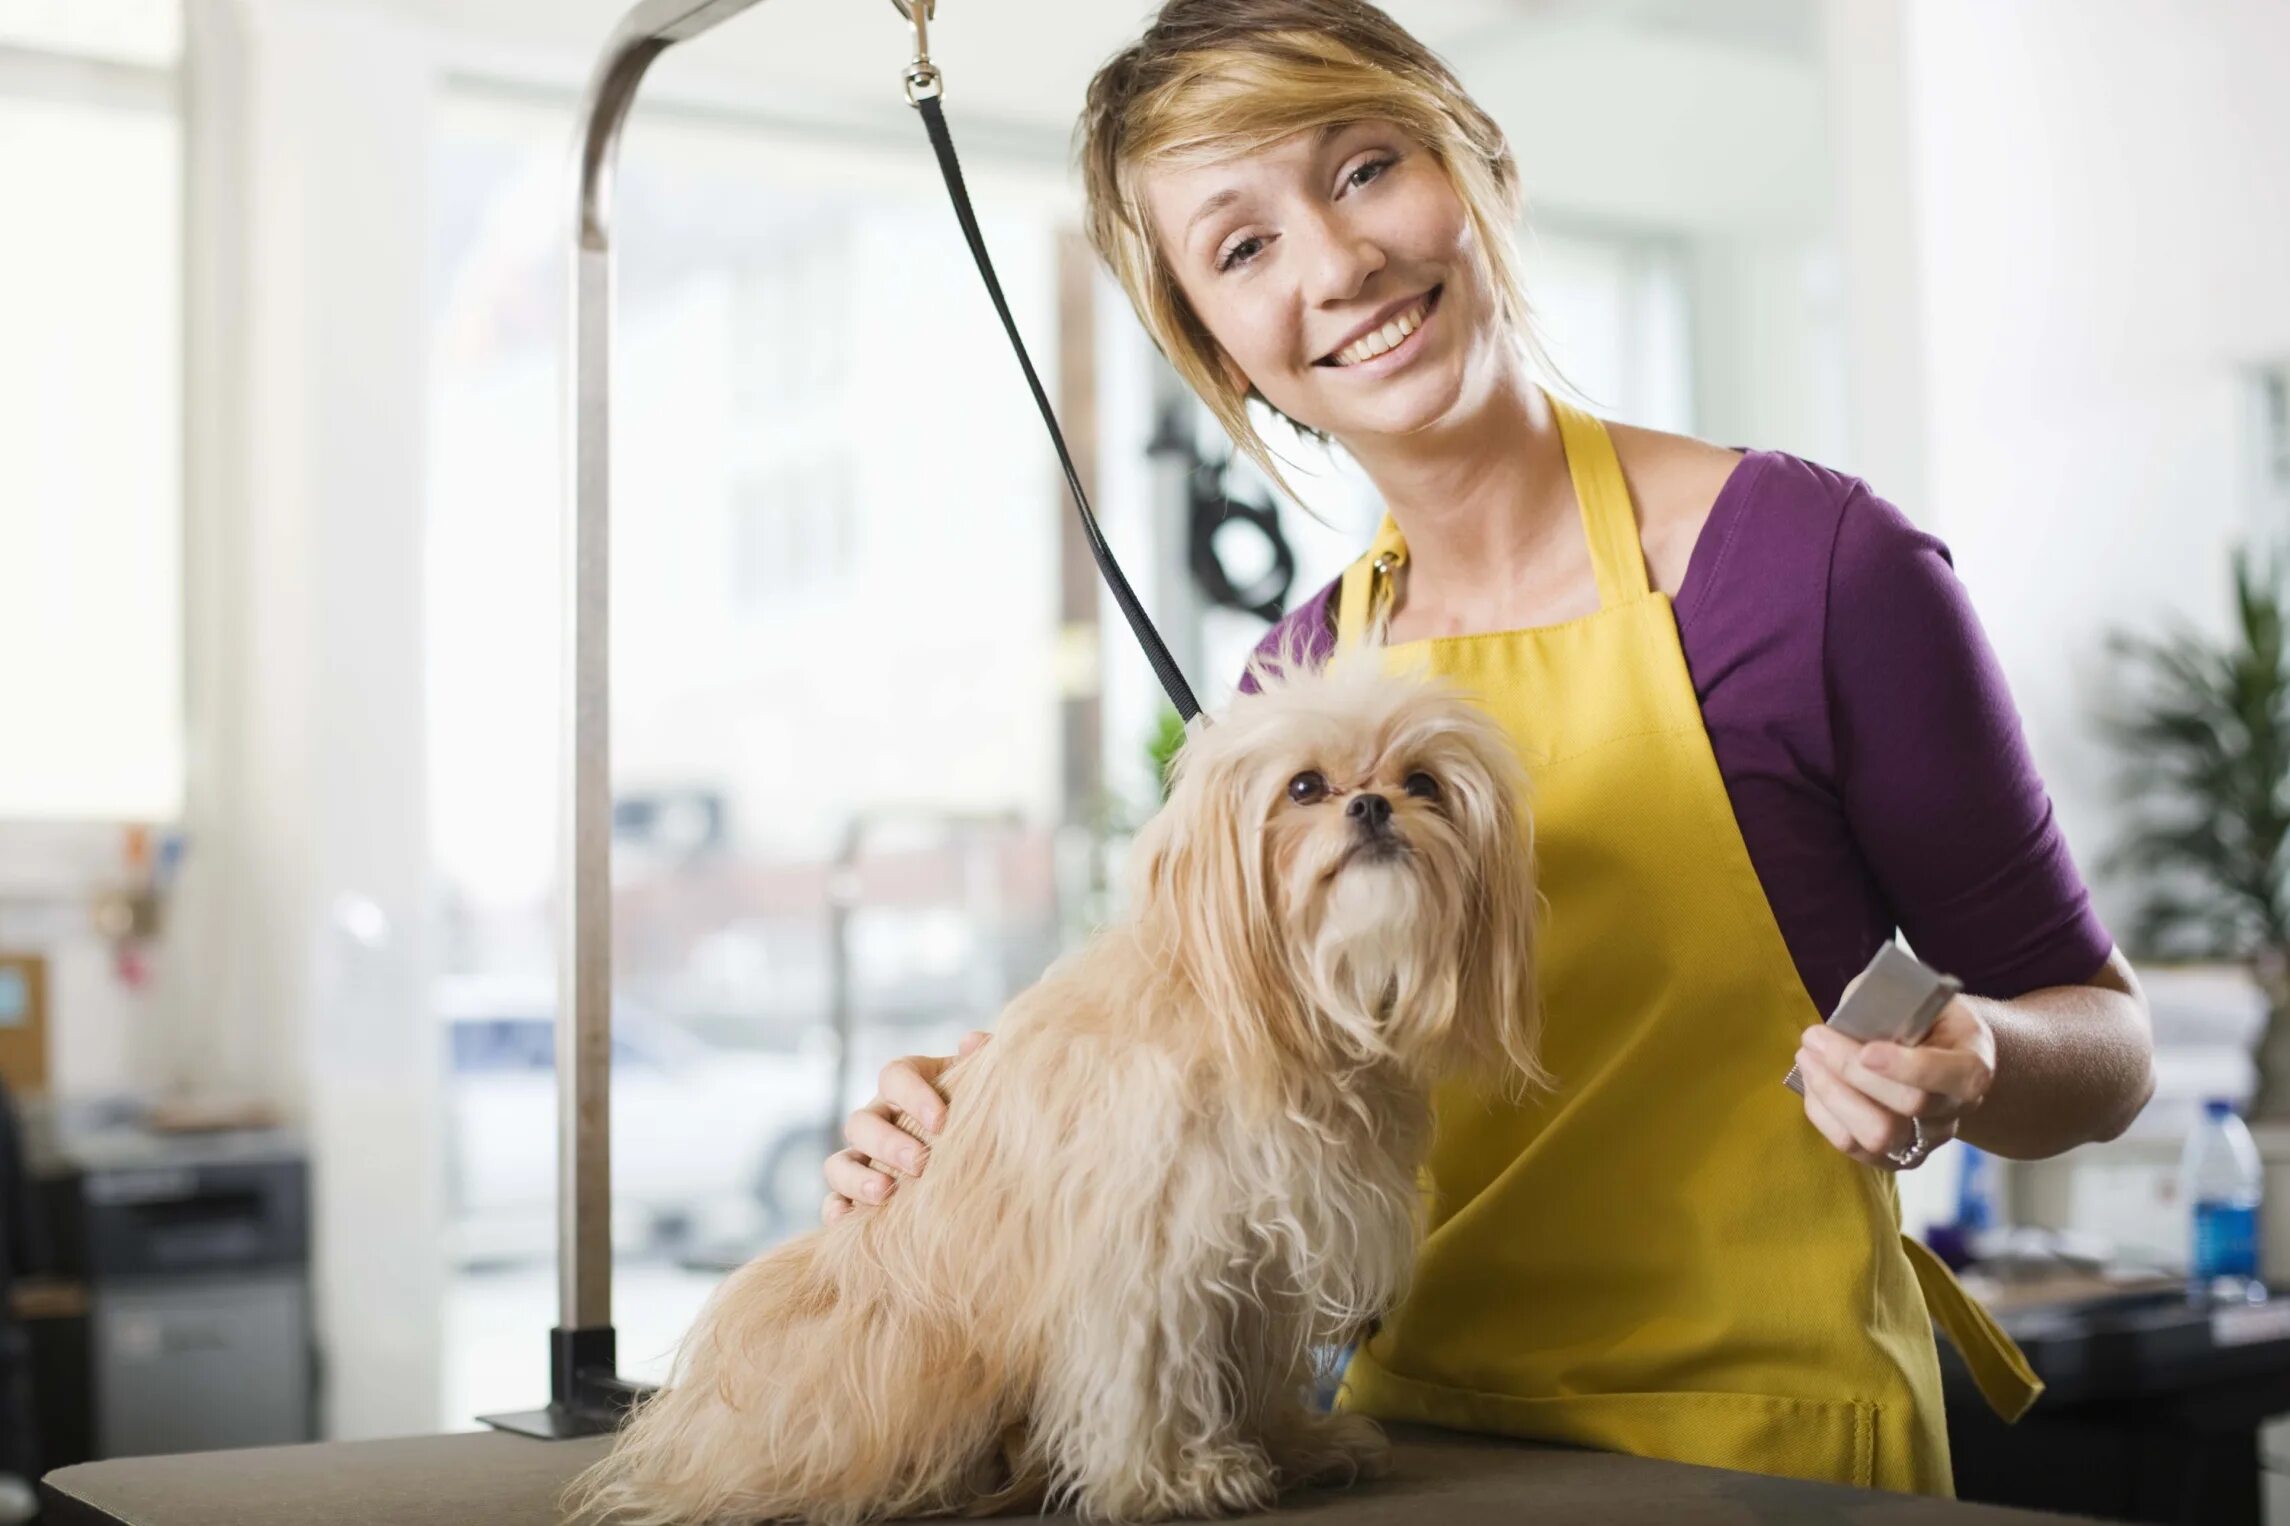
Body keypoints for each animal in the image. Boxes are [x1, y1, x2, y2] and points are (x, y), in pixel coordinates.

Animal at [563, 659, 1548, 1521]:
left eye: (1423, 782)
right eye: (1305, 787)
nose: (1373, 804)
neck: (1279, 1014)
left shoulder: (1262, 1261)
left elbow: (1255, 1365)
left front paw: (1290, 1444)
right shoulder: (1147, 1247)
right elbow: (1150, 1371)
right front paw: (1176, 1479)